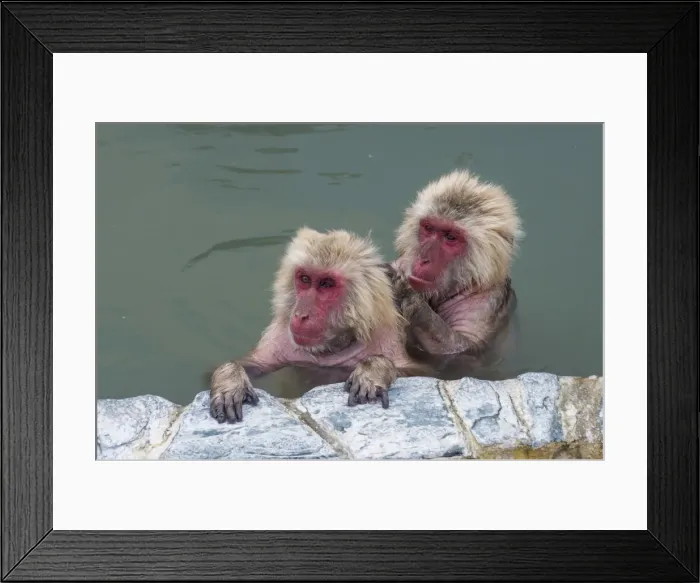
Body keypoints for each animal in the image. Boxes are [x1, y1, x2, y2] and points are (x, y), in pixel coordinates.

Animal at [209, 226, 428, 423]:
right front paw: (230, 382)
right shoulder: (280, 338)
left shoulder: (386, 337)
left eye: (326, 284)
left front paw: (374, 370)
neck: (331, 348)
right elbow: (253, 366)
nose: (301, 315)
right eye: (305, 279)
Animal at [388, 168, 524, 367]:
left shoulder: (484, 301)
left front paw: (409, 298)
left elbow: (464, 350)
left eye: (451, 237)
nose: (423, 259)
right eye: (429, 228)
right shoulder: (402, 263)